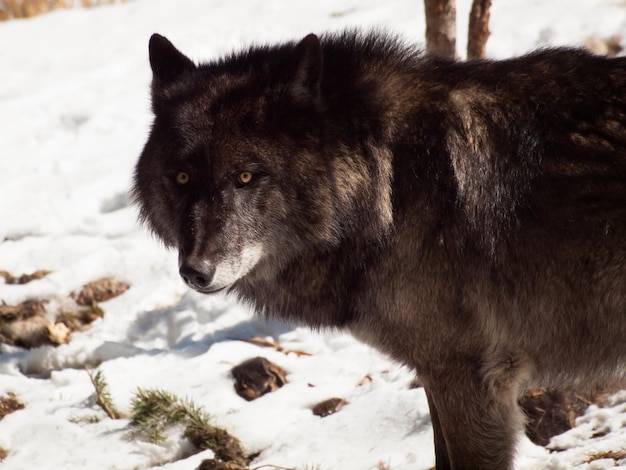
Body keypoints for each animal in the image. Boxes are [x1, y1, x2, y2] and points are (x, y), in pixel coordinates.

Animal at [133, 31, 624, 468]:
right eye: (181, 178)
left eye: (246, 177)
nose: (196, 271)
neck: (390, 185)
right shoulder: (438, 374)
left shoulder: (470, 380)